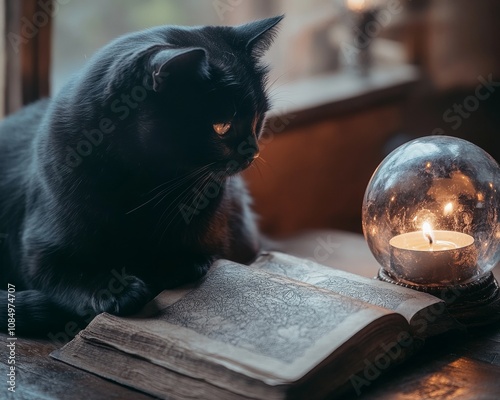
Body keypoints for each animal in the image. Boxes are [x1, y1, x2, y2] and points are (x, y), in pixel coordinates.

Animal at [0, 15, 282, 334]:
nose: (252, 151)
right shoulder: (37, 252)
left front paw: (175, 264)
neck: (145, 188)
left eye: (258, 118)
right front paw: (117, 290)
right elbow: (65, 274)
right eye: (222, 126)